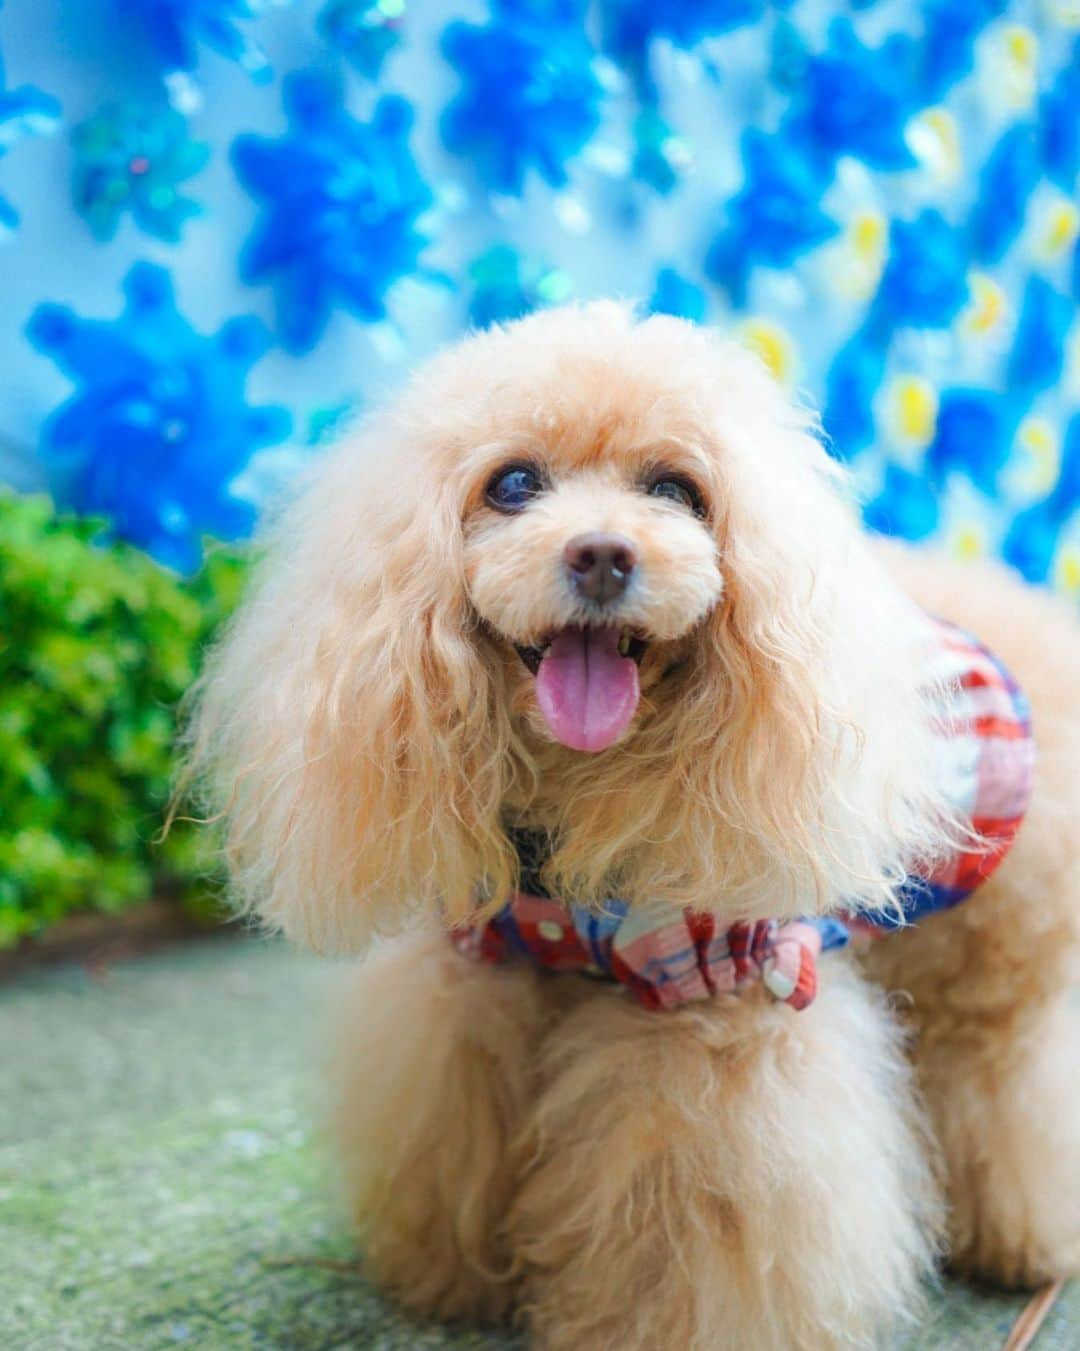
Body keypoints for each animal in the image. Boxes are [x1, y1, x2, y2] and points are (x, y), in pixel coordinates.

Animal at [194, 306, 1080, 1351]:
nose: (603, 555)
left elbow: (693, 1209)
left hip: (998, 965)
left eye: (675, 489)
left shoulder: (716, 1003)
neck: (574, 815)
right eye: (512, 483)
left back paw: (1021, 1240)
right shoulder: (485, 969)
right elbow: (455, 1122)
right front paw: (452, 1271)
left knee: (1003, 1077)